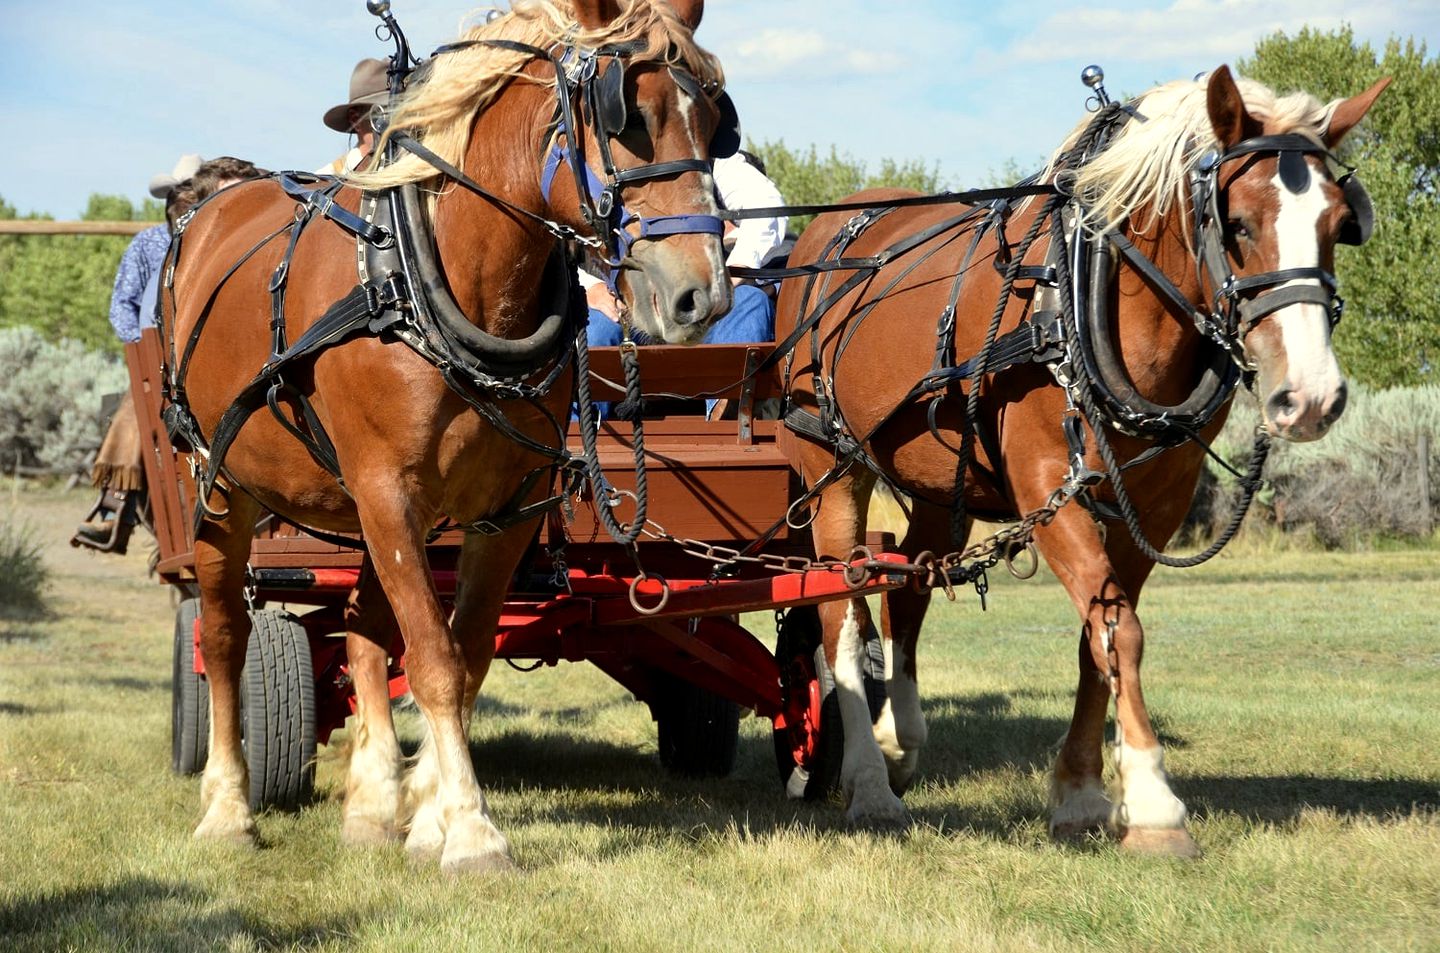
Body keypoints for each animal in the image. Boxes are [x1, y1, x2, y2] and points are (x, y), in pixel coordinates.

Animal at [163, 0, 737, 875]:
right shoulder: (389, 494)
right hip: (223, 485)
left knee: (364, 628)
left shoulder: (506, 510)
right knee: (226, 636)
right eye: (627, 117)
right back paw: (228, 808)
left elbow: (464, 658)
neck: (429, 281)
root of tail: (216, 204)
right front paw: (470, 828)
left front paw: (427, 814)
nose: (700, 293)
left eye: (715, 120)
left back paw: (371, 804)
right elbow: (432, 661)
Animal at [771, 67, 1388, 857]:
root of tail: (824, 234)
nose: (1311, 396)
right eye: (1239, 224)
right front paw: (1153, 803)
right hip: (833, 466)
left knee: (905, 590)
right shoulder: (1049, 487)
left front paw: (1083, 791)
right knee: (839, 609)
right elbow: (1119, 630)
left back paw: (898, 742)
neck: (1091, 296)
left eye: (1338, 224)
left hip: (942, 480)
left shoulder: (1154, 499)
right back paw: (870, 782)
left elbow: (1101, 630)